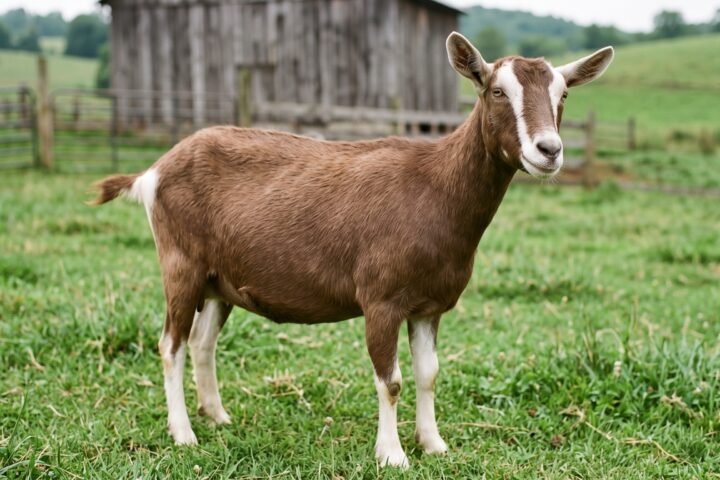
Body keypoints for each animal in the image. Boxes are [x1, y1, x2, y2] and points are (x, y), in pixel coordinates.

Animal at [93, 33, 613, 467]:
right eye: (497, 91)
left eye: (563, 94)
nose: (549, 150)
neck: (435, 190)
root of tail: (154, 171)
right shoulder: (381, 299)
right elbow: (392, 380)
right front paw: (393, 455)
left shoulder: (430, 306)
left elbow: (428, 374)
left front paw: (434, 444)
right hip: (180, 263)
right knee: (171, 345)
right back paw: (184, 433)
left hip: (220, 280)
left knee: (202, 342)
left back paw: (217, 416)